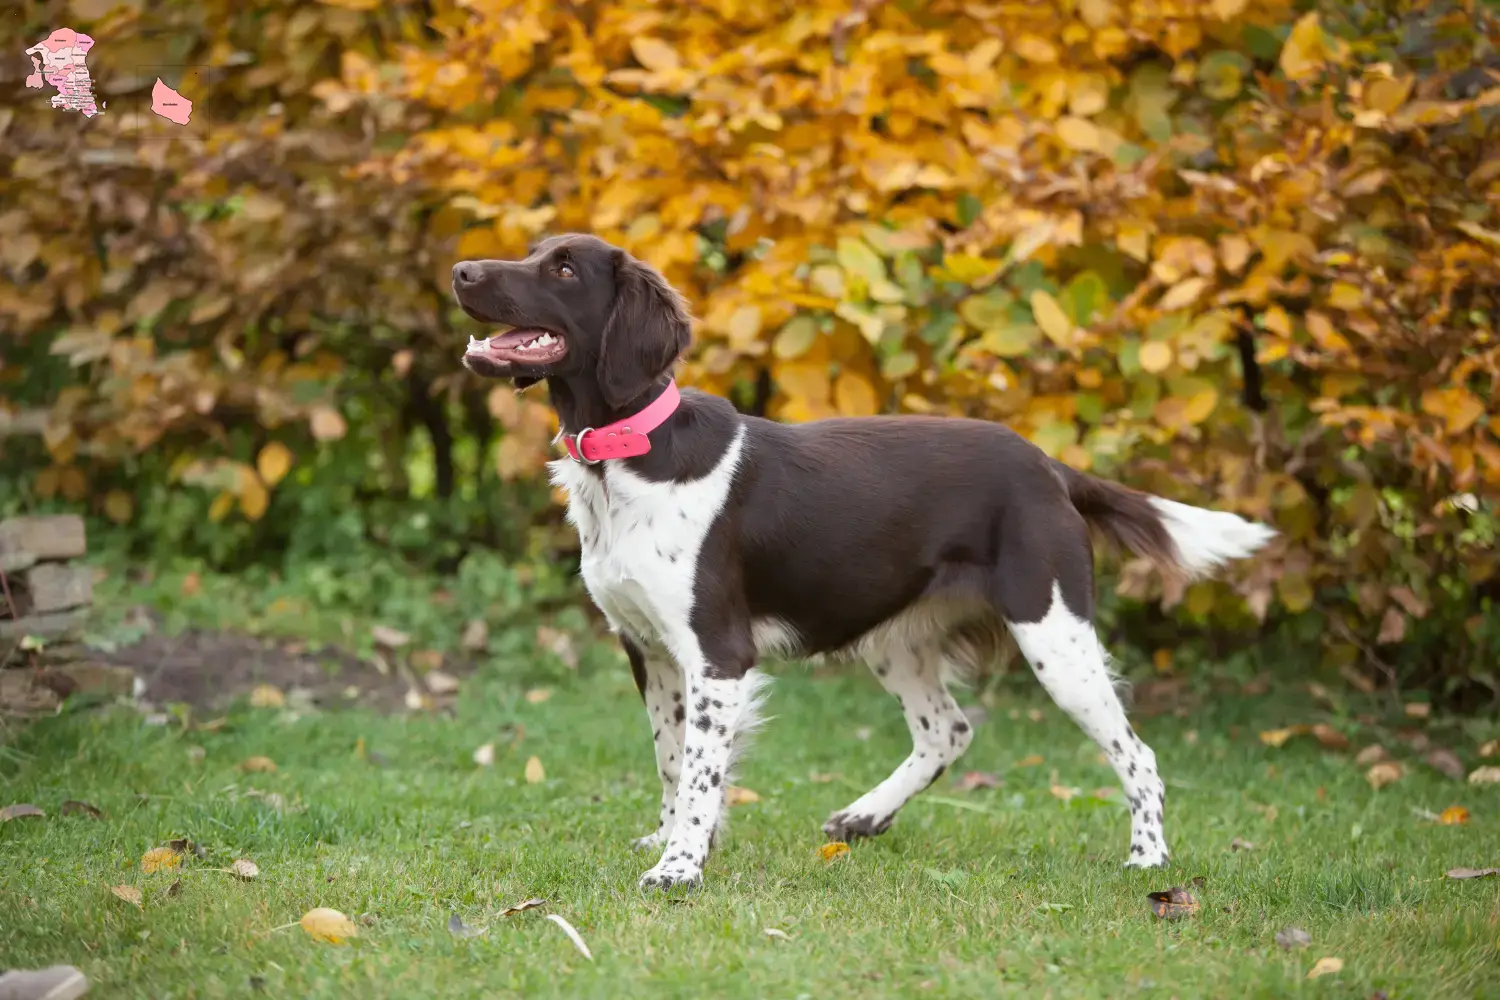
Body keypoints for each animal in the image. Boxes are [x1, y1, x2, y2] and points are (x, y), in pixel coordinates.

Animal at [450, 235, 1272, 893]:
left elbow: (701, 773)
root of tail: (1049, 465)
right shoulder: (648, 651)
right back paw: (865, 816)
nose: (459, 270)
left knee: (1138, 752)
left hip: (1054, 631)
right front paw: (676, 841)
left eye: (561, 268)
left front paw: (679, 868)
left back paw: (1148, 859)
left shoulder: (717, 653)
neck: (631, 455)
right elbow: (673, 762)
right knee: (948, 729)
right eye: (533, 250)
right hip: (898, 637)